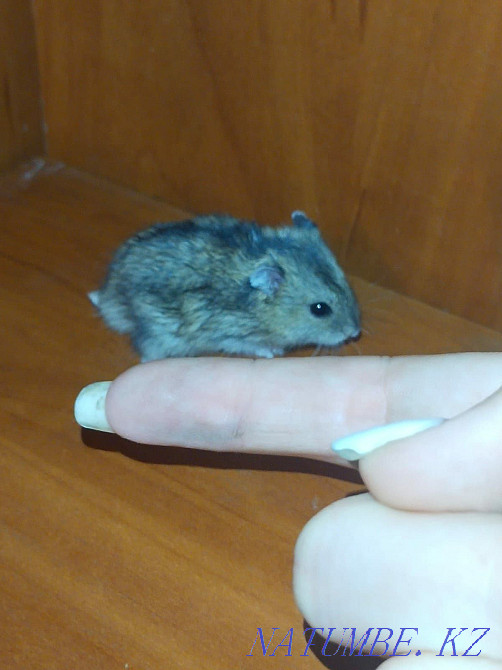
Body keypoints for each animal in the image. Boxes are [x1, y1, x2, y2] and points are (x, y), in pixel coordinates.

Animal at [89, 211, 361, 361]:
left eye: (345, 282)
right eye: (319, 309)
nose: (355, 332)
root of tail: (110, 294)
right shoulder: (228, 333)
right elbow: (250, 345)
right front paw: (274, 352)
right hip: (160, 336)